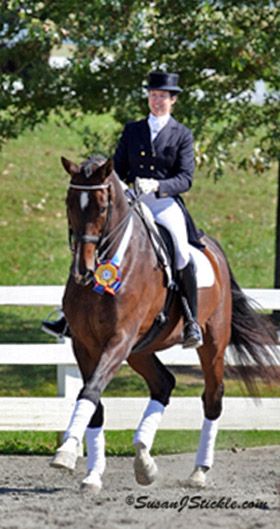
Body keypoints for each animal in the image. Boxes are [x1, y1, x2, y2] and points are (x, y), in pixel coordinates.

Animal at [51, 155, 278, 492]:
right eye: (69, 202)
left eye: (102, 207)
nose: (84, 270)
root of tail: (213, 248)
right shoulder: (84, 344)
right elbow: (94, 403)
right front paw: (92, 473)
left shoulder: (119, 338)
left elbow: (90, 391)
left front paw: (65, 452)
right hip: (140, 350)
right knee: (163, 384)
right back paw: (144, 461)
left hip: (211, 343)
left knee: (212, 397)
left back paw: (198, 471)